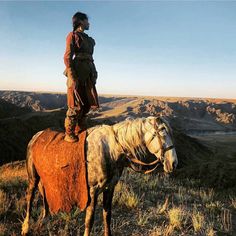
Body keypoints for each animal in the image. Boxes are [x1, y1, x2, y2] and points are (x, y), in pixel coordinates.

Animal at [21, 115, 177, 235]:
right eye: (162, 133)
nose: (173, 163)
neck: (111, 150)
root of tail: (36, 136)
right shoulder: (92, 191)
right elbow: (89, 221)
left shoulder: (110, 188)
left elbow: (107, 215)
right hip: (33, 177)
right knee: (30, 196)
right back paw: (26, 227)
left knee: (45, 194)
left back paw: (46, 218)